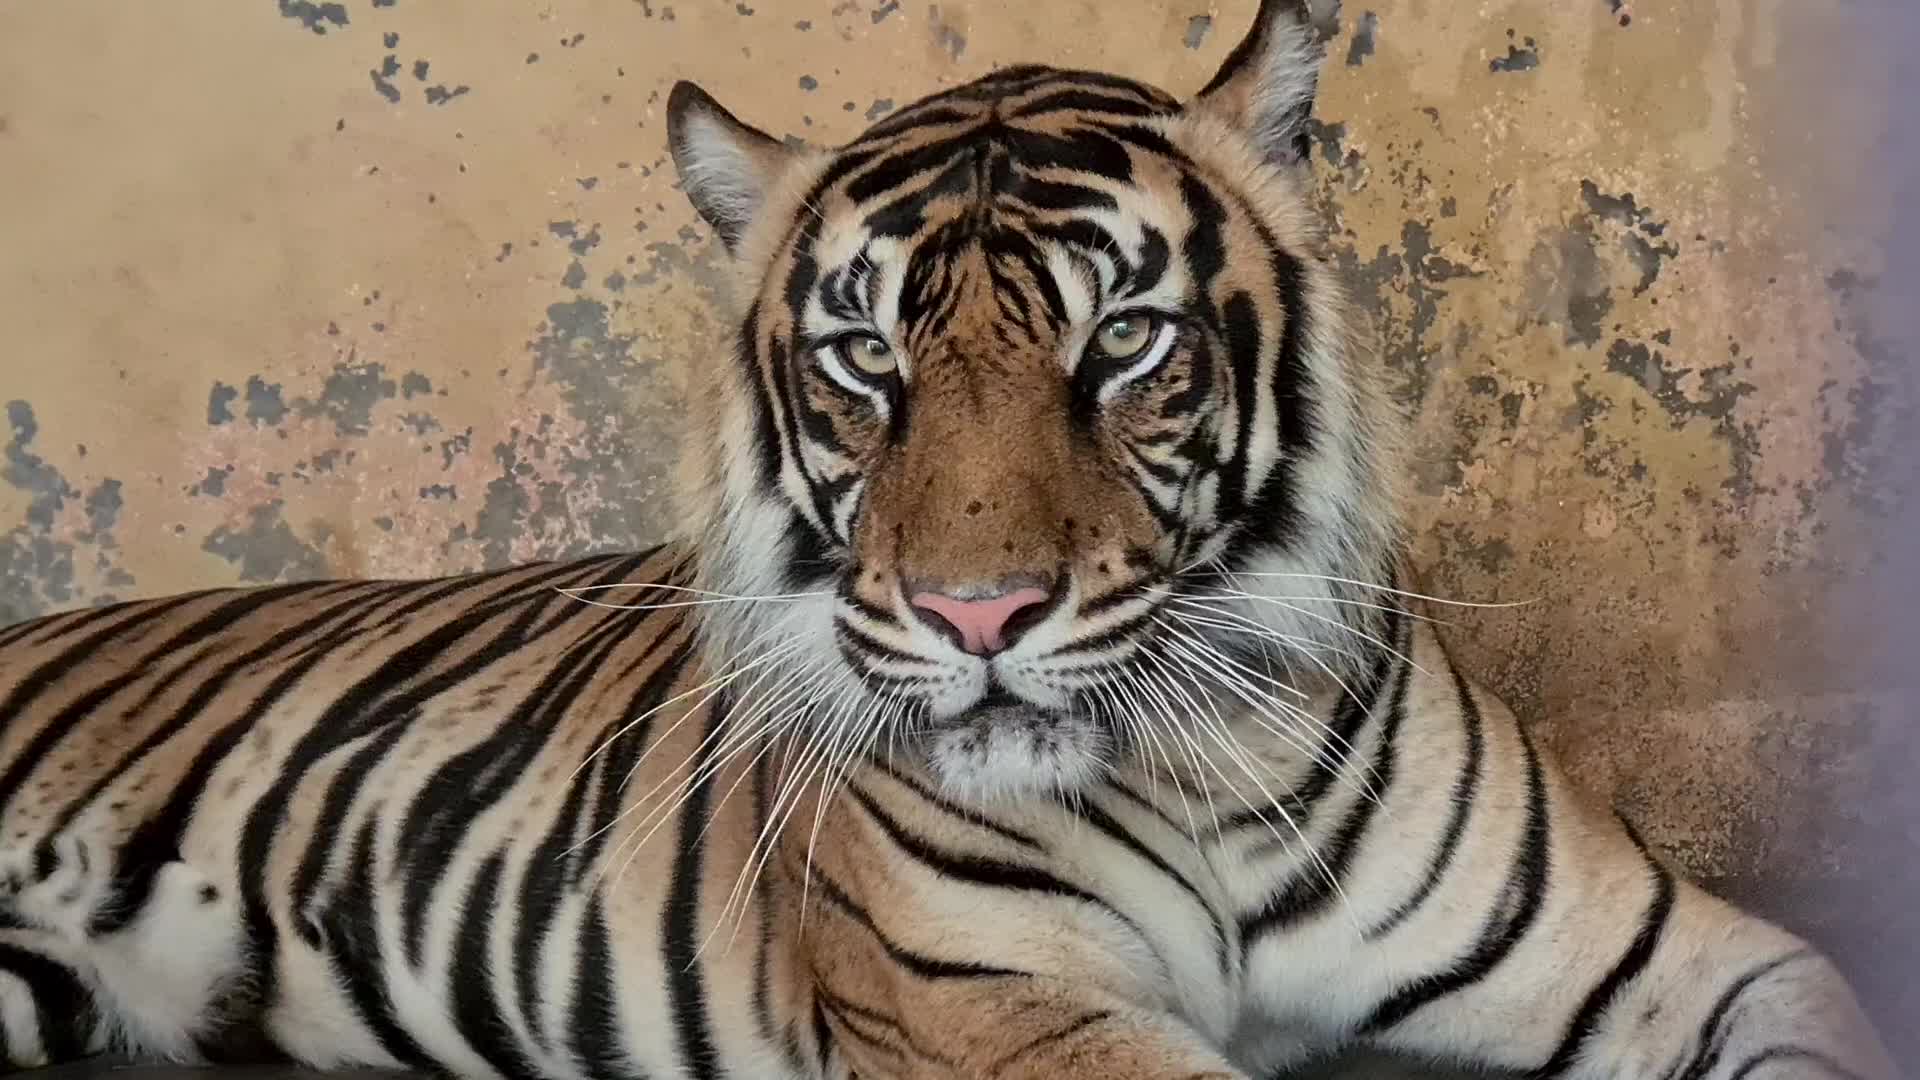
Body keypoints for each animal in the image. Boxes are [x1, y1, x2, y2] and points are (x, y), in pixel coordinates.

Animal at [0, 3, 1898, 1079]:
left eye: (1121, 342)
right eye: (865, 362)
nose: (979, 617)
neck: (1202, 774)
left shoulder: (1689, 956)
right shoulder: (1007, 1011)